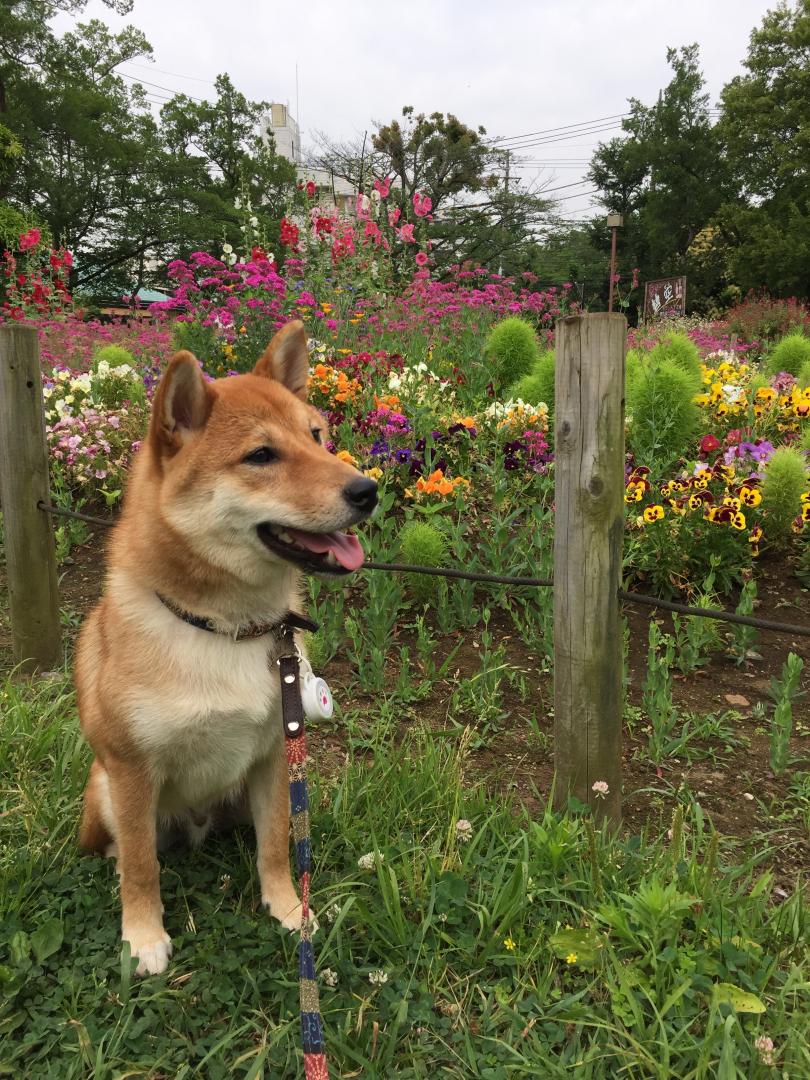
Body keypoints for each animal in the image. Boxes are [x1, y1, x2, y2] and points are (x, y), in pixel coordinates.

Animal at [74, 321, 380, 980]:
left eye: (316, 436)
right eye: (261, 455)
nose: (368, 489)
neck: (224, 629)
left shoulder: (274, 755)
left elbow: (277, 848)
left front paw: (290, 909)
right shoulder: (132, 772)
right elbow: (142, 868)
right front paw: (142, 937)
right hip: (105, 792)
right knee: (126, 849)